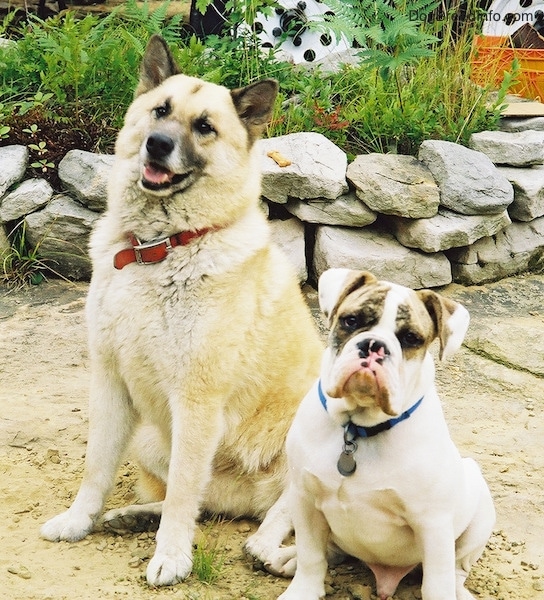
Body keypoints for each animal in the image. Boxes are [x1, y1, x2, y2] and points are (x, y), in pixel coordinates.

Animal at [43, 34, 324, 584]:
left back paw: (275, 555)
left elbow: (180, 497)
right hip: (154, 441)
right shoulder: (110, 384)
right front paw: (78, 520)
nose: (157, 144)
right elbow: (98, 468)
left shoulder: (197, 401)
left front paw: (171, 557)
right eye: (161, 111)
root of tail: (252, 495)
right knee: (206, 503)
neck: (160, 248)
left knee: (267, 528)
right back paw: (134, 517)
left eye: (205, 127)